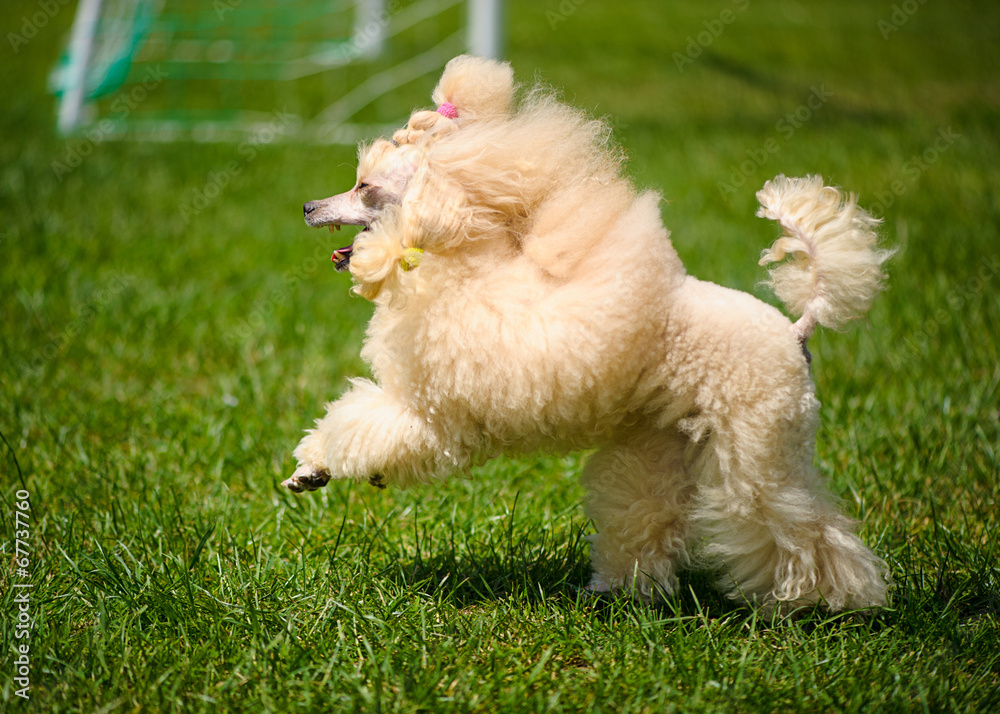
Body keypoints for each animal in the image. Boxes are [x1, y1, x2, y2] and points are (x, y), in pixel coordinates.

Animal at [287, 56, 893, 613]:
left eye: (364, 187)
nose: (308, 206)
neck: (457, 264)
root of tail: (796, 329)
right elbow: (354, 419)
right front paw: (310, 471)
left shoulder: (435, 412)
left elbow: (364, 426)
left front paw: (327, 463)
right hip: (661, 443)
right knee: (646, 516)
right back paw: (620, 596)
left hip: (757, 445)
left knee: (799, 526)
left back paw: (820, 604)